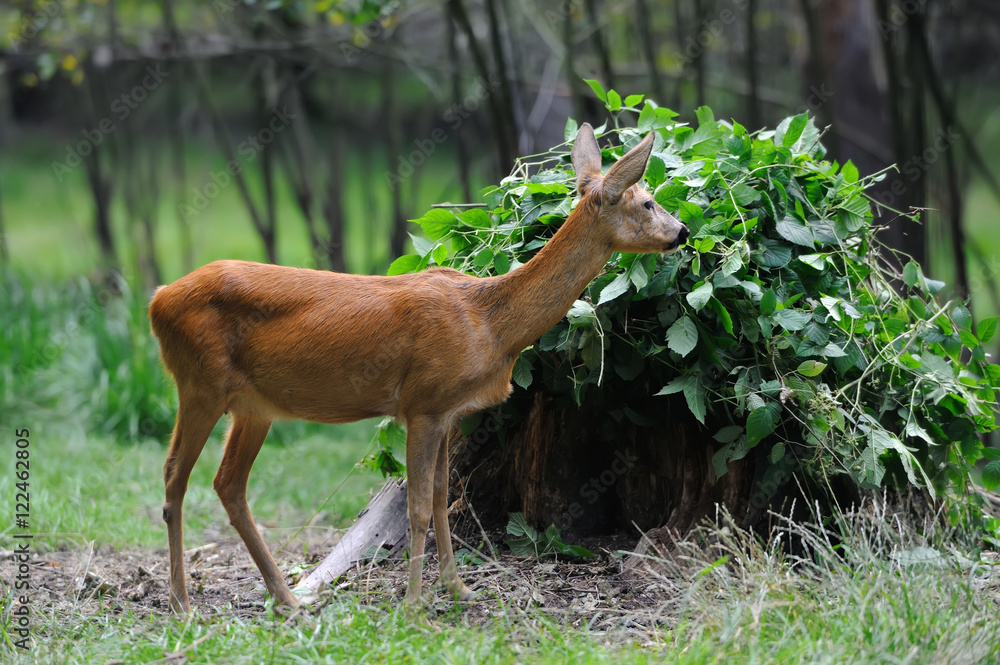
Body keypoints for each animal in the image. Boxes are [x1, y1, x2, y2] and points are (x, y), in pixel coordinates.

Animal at [150, 122, 688, 616]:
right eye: (647, 202)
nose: (682, 232)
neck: (487, 323)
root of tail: (156, 300)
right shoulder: (422, 403)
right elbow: (418, 509)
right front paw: (412, 606)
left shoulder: (450, 411)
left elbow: (443, 498)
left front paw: (458, 589)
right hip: (199, 382)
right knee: (175, 474)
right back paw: (181, 601)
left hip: (253, 406)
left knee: (228, 484)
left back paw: (287, 599)